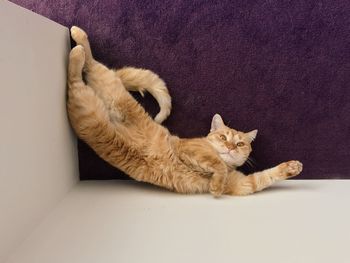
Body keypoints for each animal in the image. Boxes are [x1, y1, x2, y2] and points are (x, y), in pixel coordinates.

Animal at [67, 25, 302, 197]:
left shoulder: (240, 185)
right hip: (106, 94)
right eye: (223, 137)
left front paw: (292, 167)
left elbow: (263, 177)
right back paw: (77, 41)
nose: (230, 147)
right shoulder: (190, 150)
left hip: (93, 104)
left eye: (240, 144)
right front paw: (216, 183)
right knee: (84, 67)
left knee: (83, 74)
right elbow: (217, 163)